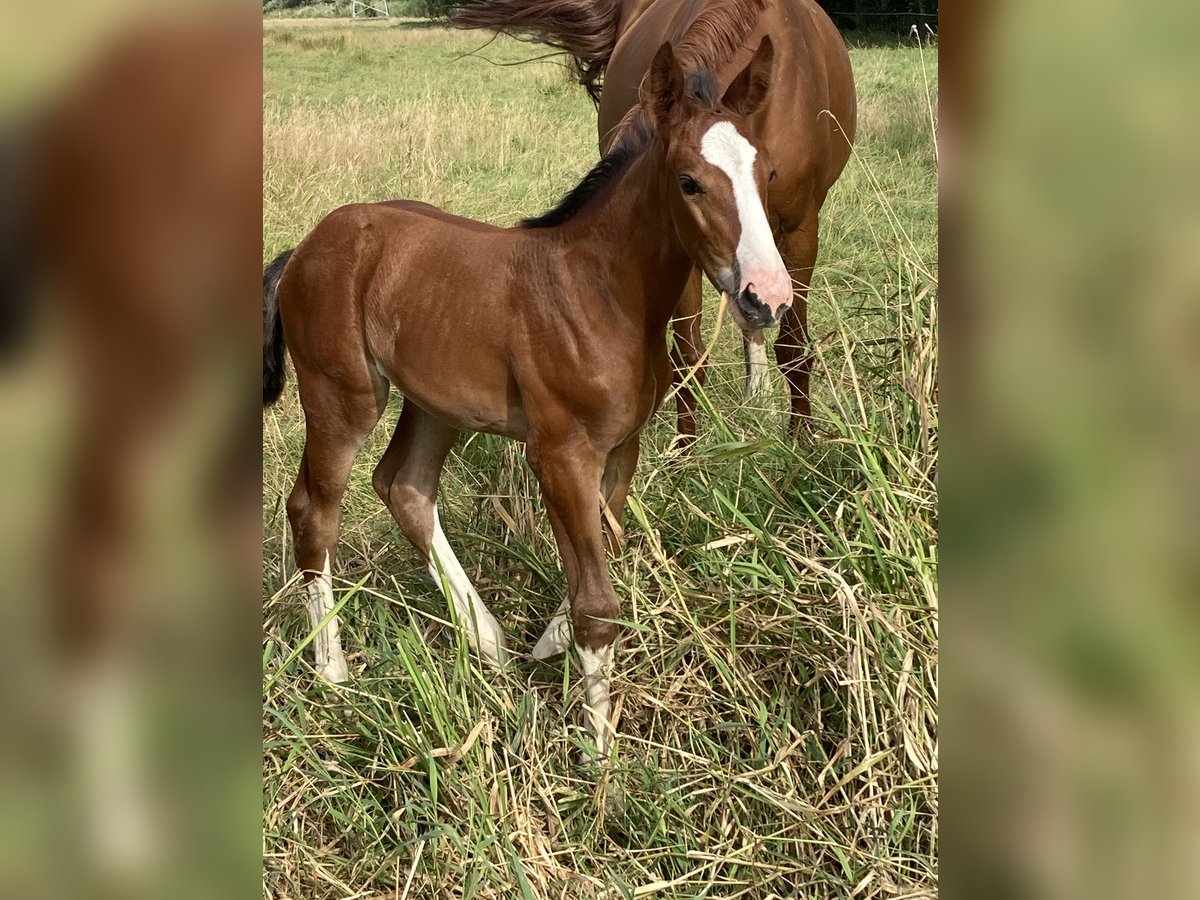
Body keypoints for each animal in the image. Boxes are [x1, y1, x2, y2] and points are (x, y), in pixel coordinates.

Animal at [261, 38, 787, 758]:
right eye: (689, 181)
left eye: (768, 174)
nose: (769, 297)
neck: (600, 290)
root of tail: (305, 247)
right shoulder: (559, 452)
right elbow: (597, 602)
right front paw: (599, 752)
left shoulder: (620, 446)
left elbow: (602, 553)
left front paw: (548, 645)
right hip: (342, 395)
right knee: (315, 509)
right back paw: (334, 673)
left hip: (434, 402)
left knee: (405, 487)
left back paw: (488, 643)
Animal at [453, 0, 859, 436]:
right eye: (686, 183)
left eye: (770, 174)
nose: (764, 294)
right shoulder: (681, 240)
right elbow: (689, 356)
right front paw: (686, 448)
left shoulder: (799, 231)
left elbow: (793, 346)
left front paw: (802, 439)